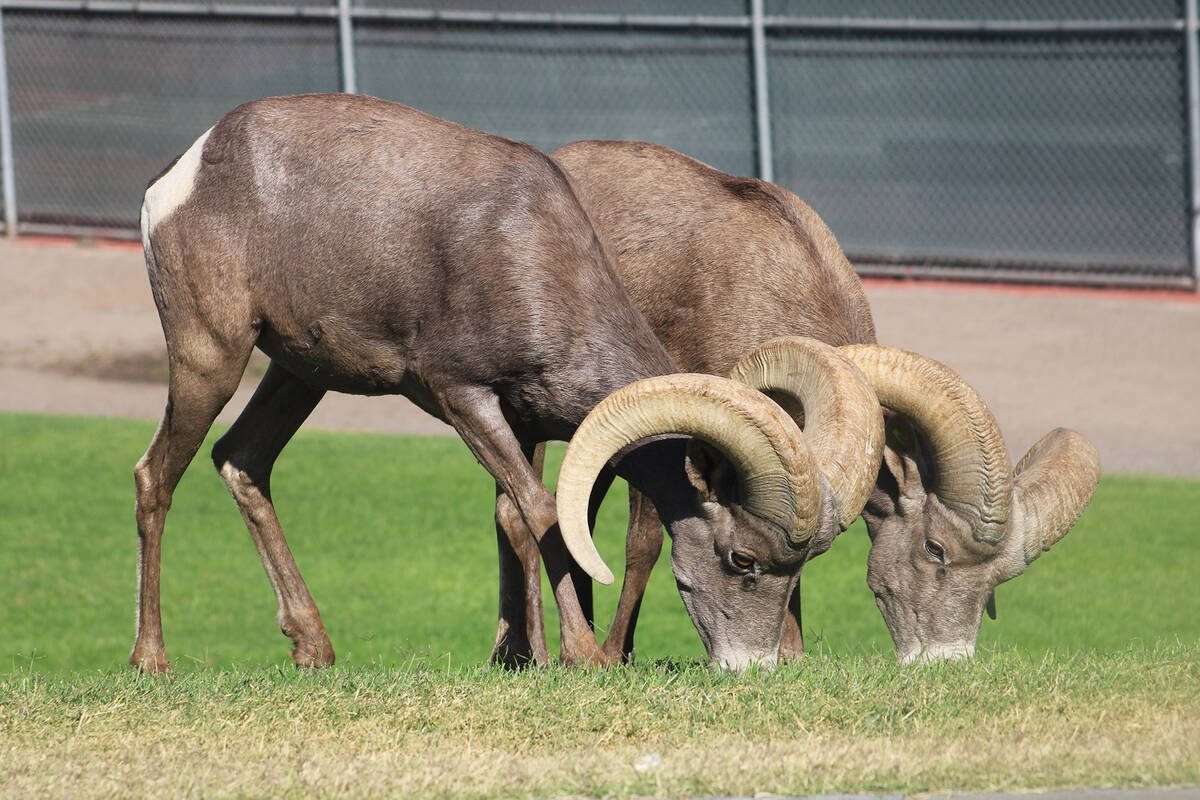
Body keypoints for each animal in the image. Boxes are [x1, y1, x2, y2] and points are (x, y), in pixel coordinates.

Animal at [133, 97, 883, 681]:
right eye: (741, 558)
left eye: (801, 569)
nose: (757, 669)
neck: (534, 259)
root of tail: (179, 177)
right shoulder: (464, 397)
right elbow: (544, 512)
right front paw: (584, 656)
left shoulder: (527, 424)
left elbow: (526, 517)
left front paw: (537, 658)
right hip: (210, 354)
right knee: (155, 476)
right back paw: (151, 661)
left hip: (297, 375)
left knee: (242, 461)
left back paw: (313, 649)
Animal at [492, 140, 1099, 666]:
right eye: (935, 550)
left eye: (995, 582)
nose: (947, 661)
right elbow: (644, 543)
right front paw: (616, 657)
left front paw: (791, 655)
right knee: (517, 511)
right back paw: (529, 655)